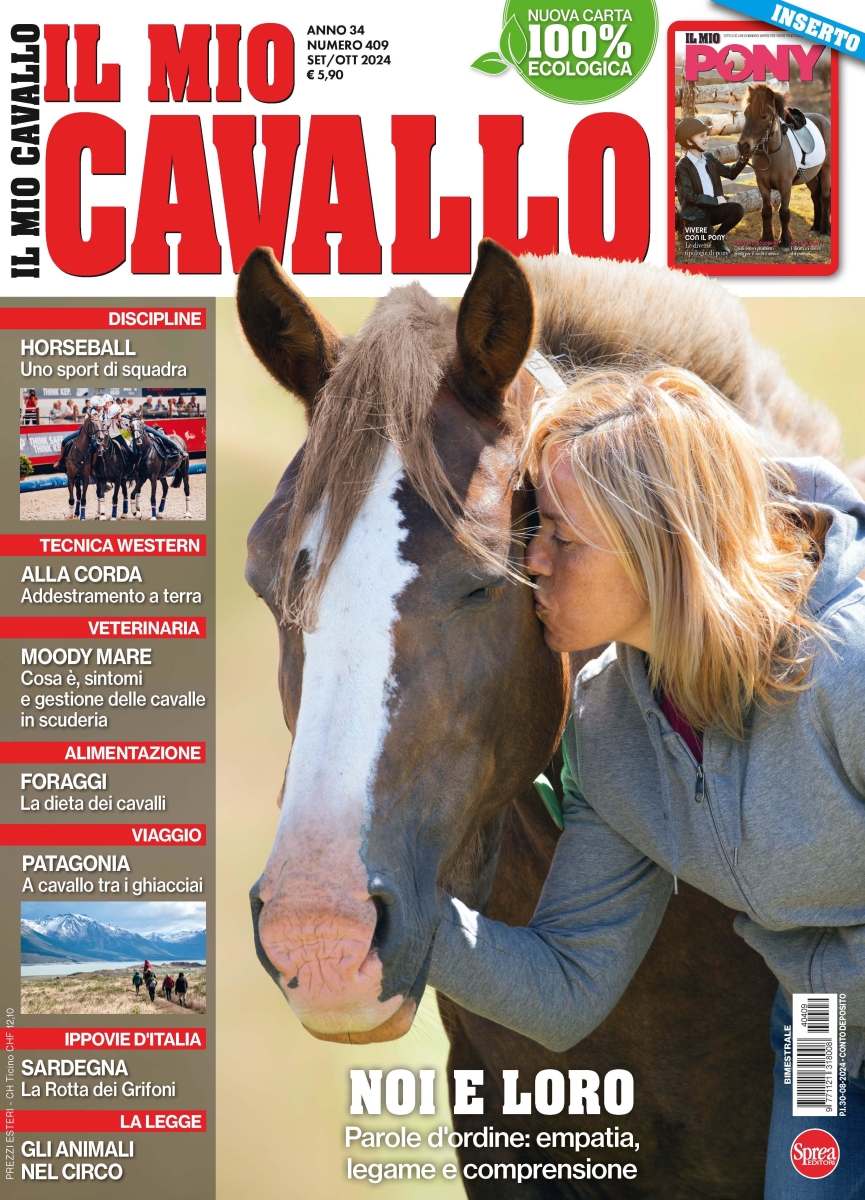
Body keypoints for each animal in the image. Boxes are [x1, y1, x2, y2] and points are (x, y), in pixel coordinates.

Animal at [738, 83, 831, 249]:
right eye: (746, 113)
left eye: (764, 116)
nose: (743, 146)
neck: (772, 153)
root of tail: (824, 119)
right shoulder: (762, 184)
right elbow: (766, 210)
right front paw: (766, 239)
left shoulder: (786, 185)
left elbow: (784, 212)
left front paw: (785, 242)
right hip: (810, 177)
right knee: (815, 196)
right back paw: (815, 227)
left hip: (826, 170)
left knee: (825, 197)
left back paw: (825, 231)